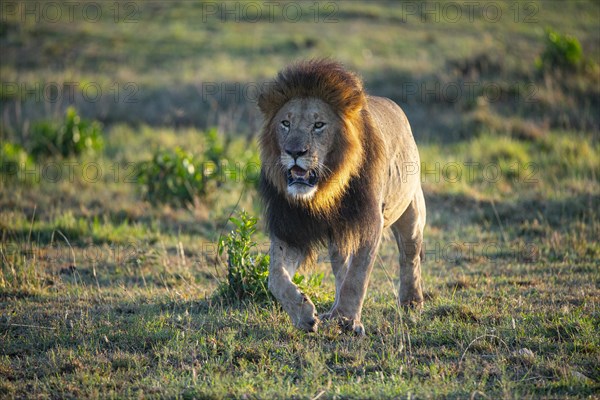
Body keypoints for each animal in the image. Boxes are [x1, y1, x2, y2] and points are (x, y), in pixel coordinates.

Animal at [258, 59, 426, 334]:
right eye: (285, 123)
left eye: (318, 125)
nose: (294, 152)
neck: (324, 191)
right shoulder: (290, 226)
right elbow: (275, 277)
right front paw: (304, 314)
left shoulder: (370, 221)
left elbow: (357, 275)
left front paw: (346, 320)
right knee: (341, 266)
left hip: (411, 210)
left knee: (409, 255)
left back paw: (411, 302)